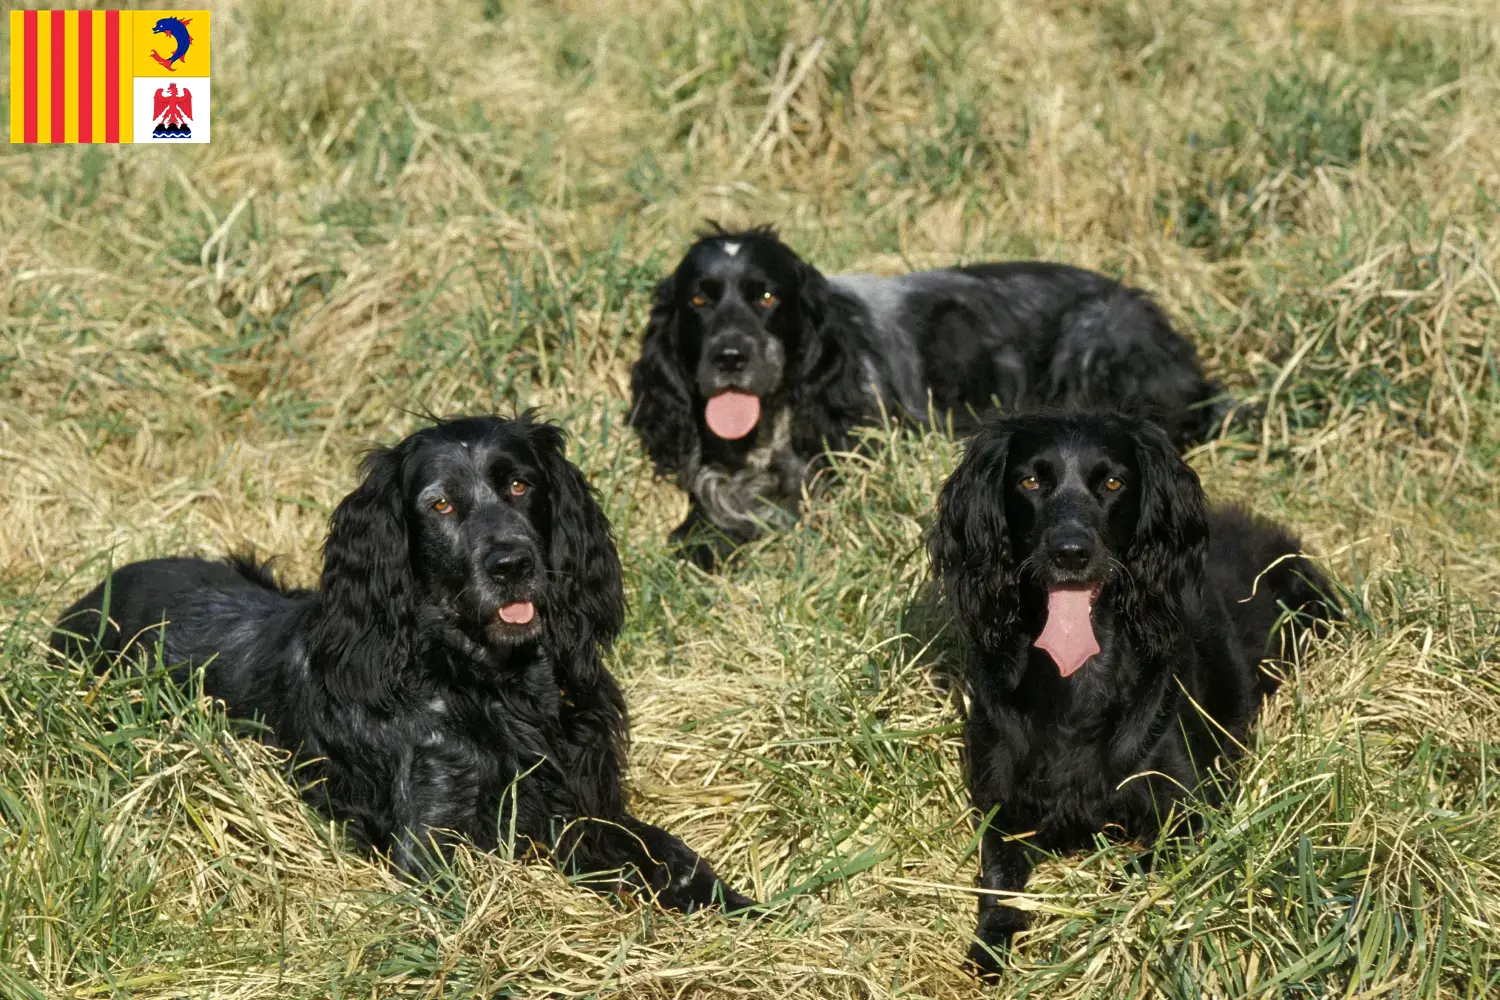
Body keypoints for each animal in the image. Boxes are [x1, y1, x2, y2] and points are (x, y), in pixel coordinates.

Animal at [52, 413, 756, 917]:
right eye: (439, 504)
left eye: (521, 484)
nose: (512, 564)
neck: (493, 686)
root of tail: (89, 596)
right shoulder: (431, 842)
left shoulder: (584, 802)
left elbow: (668, 851)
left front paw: (743, 907)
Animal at [924, 407, 1338, 977]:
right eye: (1029, 481)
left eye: (1114, 482)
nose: (1070, 553)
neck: (1077, 682)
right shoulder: (1001, 809)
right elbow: (997, 881)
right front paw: (990, 944)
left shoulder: (1195, 809)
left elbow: (1136, 868)